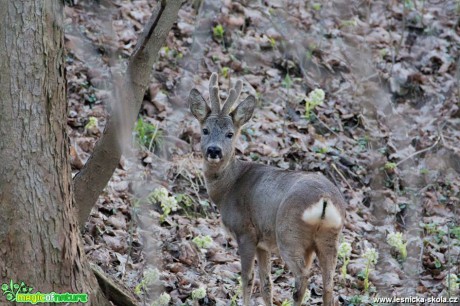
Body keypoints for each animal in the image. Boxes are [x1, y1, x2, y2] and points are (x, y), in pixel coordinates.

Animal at [190, 72, 344, 306]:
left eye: (230, 133)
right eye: (205, 130)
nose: (214, 150)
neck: (228, 188)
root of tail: (325, 199)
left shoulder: (246, 231)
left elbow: (247, 279)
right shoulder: (263, 243)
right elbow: (266, 284)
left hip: (289, 234)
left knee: (302, 277)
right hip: (329, 238)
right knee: (329, 285)